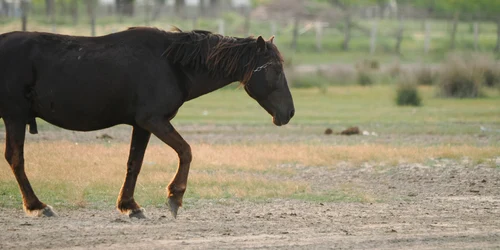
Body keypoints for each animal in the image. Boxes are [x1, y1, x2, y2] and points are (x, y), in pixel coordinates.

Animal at [0, 27, 294, 218]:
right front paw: (175, 196)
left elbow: (135, 163)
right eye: (275, 69)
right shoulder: (152, 120)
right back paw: (37, 205)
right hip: (15, 116)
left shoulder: (141, 126)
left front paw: (129, 205)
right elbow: (186, 151)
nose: (290, 112)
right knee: (16, 158)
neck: (172, 64)